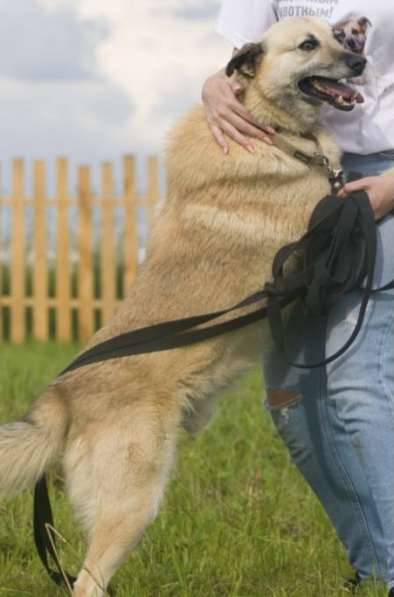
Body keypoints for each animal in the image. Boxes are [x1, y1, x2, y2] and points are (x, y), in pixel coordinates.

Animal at [0, 16, 366, 592]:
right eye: (308, 45)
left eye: (336, 35)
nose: (361, 62)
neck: (272, 128)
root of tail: (61, 398)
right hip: (133, 503)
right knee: (87, 582)